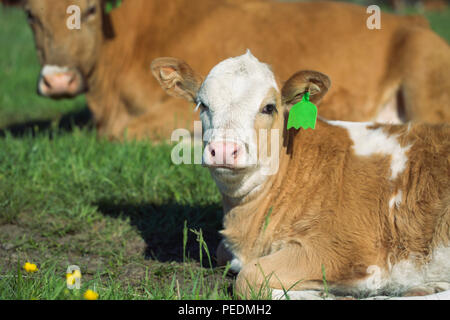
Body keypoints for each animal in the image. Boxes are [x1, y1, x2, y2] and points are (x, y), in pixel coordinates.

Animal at [152, 52, 450, 300]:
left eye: (269, 107)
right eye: (202, 104)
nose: (224, 150)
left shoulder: (344, 249)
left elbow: (248, 280)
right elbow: (224, 255)